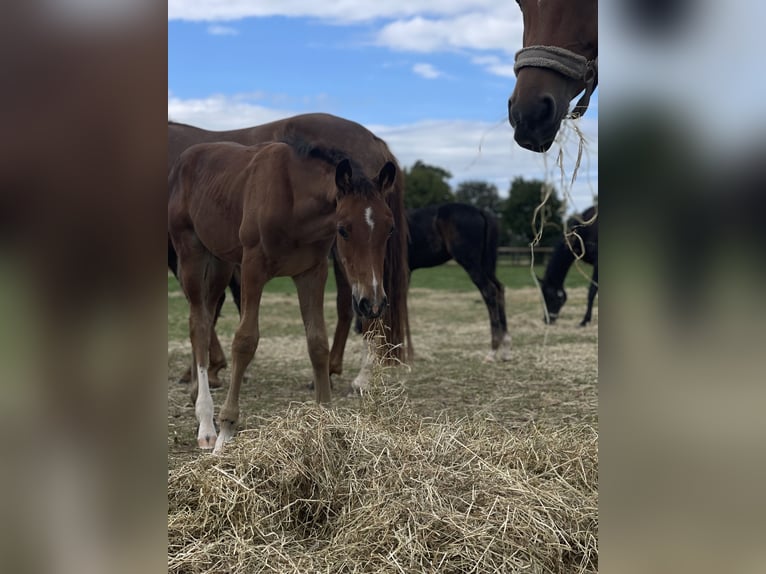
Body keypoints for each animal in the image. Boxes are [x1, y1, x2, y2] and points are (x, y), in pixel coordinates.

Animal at [166, 113, 412, 388]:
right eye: (343, 229)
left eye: (390, 229)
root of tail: (375, 140)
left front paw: (207, 370)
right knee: (350, 305)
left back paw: (362, 377)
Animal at [168, 141, 396, 454]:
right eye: (343, 229)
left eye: (390, 228)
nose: (372, 303)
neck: (294, 201)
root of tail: (185, 158)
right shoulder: (252, 267)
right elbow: (245, 341)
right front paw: (226, 430)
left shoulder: (313, 272)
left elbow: (318, 343)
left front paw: (327, 421)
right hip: (191, 251)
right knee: (198, 324)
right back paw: (206, 424)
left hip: (220, 261)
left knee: (206, 314)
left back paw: (195, 397)